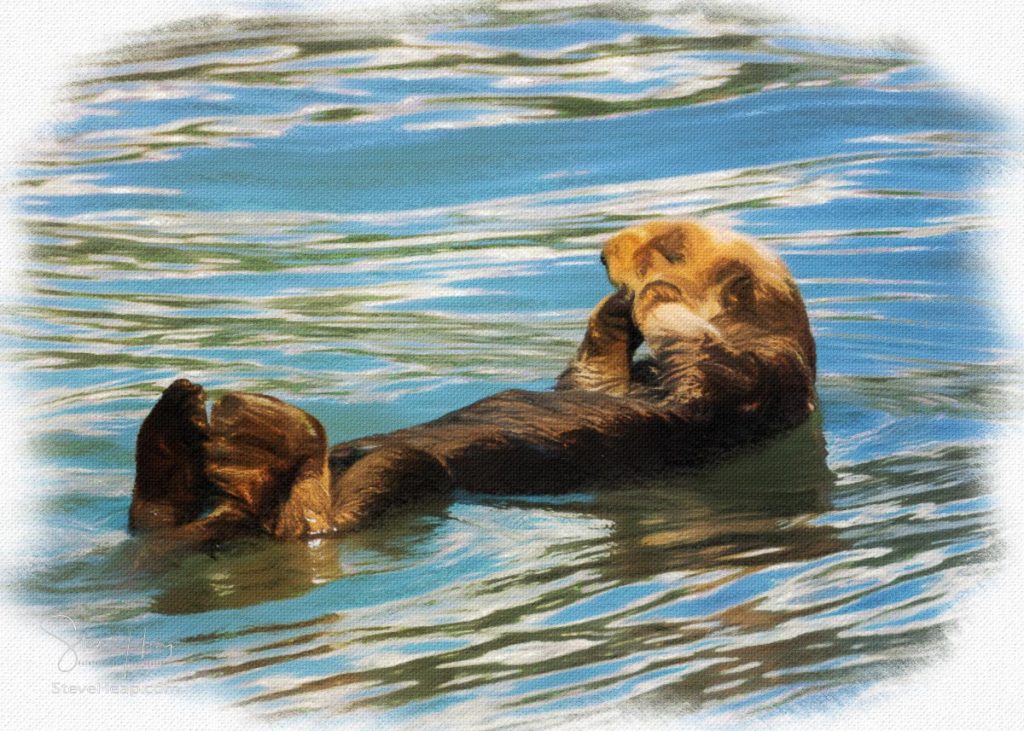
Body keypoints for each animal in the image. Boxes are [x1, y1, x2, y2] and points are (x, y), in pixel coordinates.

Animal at [130, 219, 815, 544]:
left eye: (671, 247)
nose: (605, 251)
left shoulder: (753, 376)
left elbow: (698, 362)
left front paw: (654, 296)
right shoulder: (617, 380)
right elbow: (594, 377)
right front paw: (614, 311)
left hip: (408, 478)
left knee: (310, 521)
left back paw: (262, 437)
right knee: (156, 516)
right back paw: (181, 418)